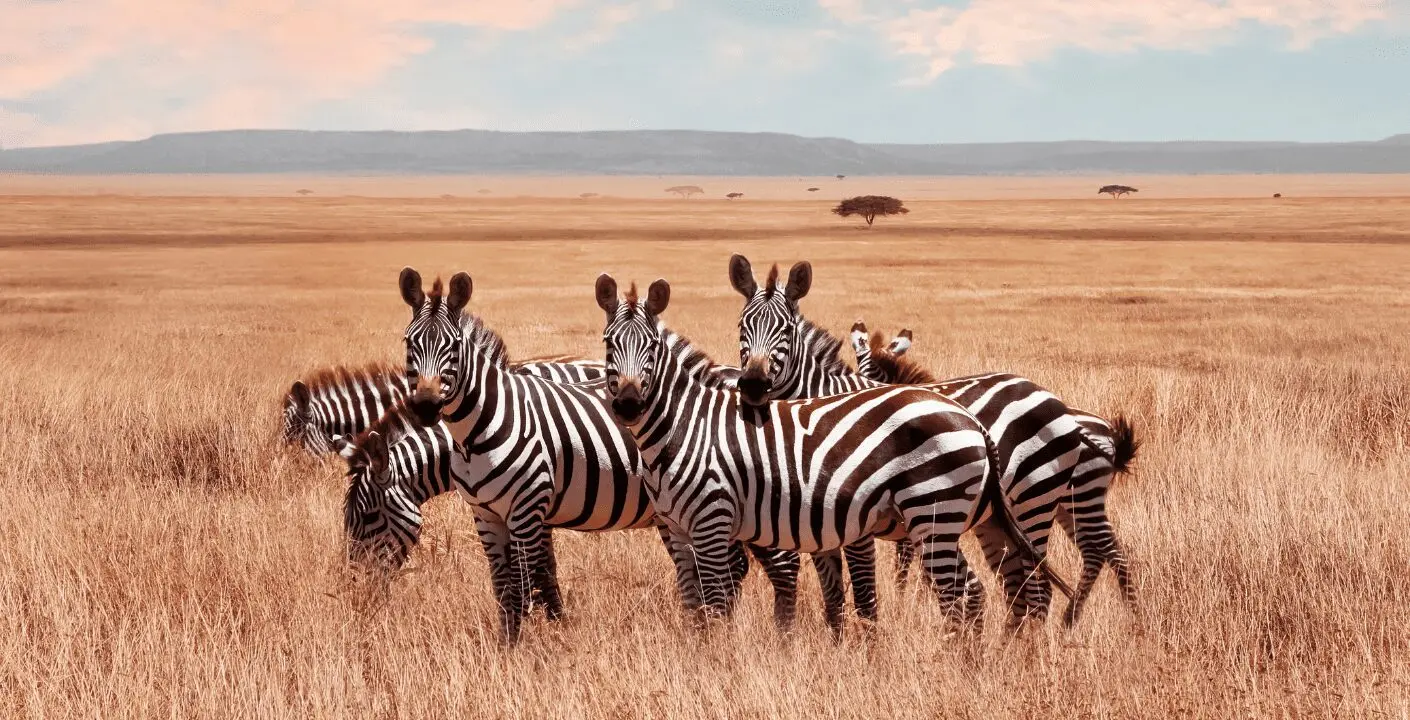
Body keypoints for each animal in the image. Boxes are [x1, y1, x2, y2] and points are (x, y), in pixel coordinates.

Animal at [393, 267, 806, 641]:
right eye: (409, 343)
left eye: (453, 346)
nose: (425, 408)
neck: (480, 427)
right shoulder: (486, 515)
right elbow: (505, 587)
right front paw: (511, 644)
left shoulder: (529, 508)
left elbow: (526, 583)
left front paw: (530, 648)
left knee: (779, 565)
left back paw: (780, 638)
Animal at [593, 272, 1071, 631]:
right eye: (608, 342)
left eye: (652, 347)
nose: (628, 405)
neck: (685, 425)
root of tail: (971, 420)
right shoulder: (681, 527)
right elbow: (699, 602)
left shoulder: (716, 521)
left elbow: (719, 606)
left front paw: (720, 664)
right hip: (980, 518)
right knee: (1003, 587)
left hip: (954, 510)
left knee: (975, 591)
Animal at [850, 322, 1140, 627]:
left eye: (874, 376)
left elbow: (908, 560)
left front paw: (907, 599)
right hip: (1067, 502)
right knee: (1097, 550)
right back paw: (1073, 620)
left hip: (1076, 496)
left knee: (1107, 551)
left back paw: (1132, 618)